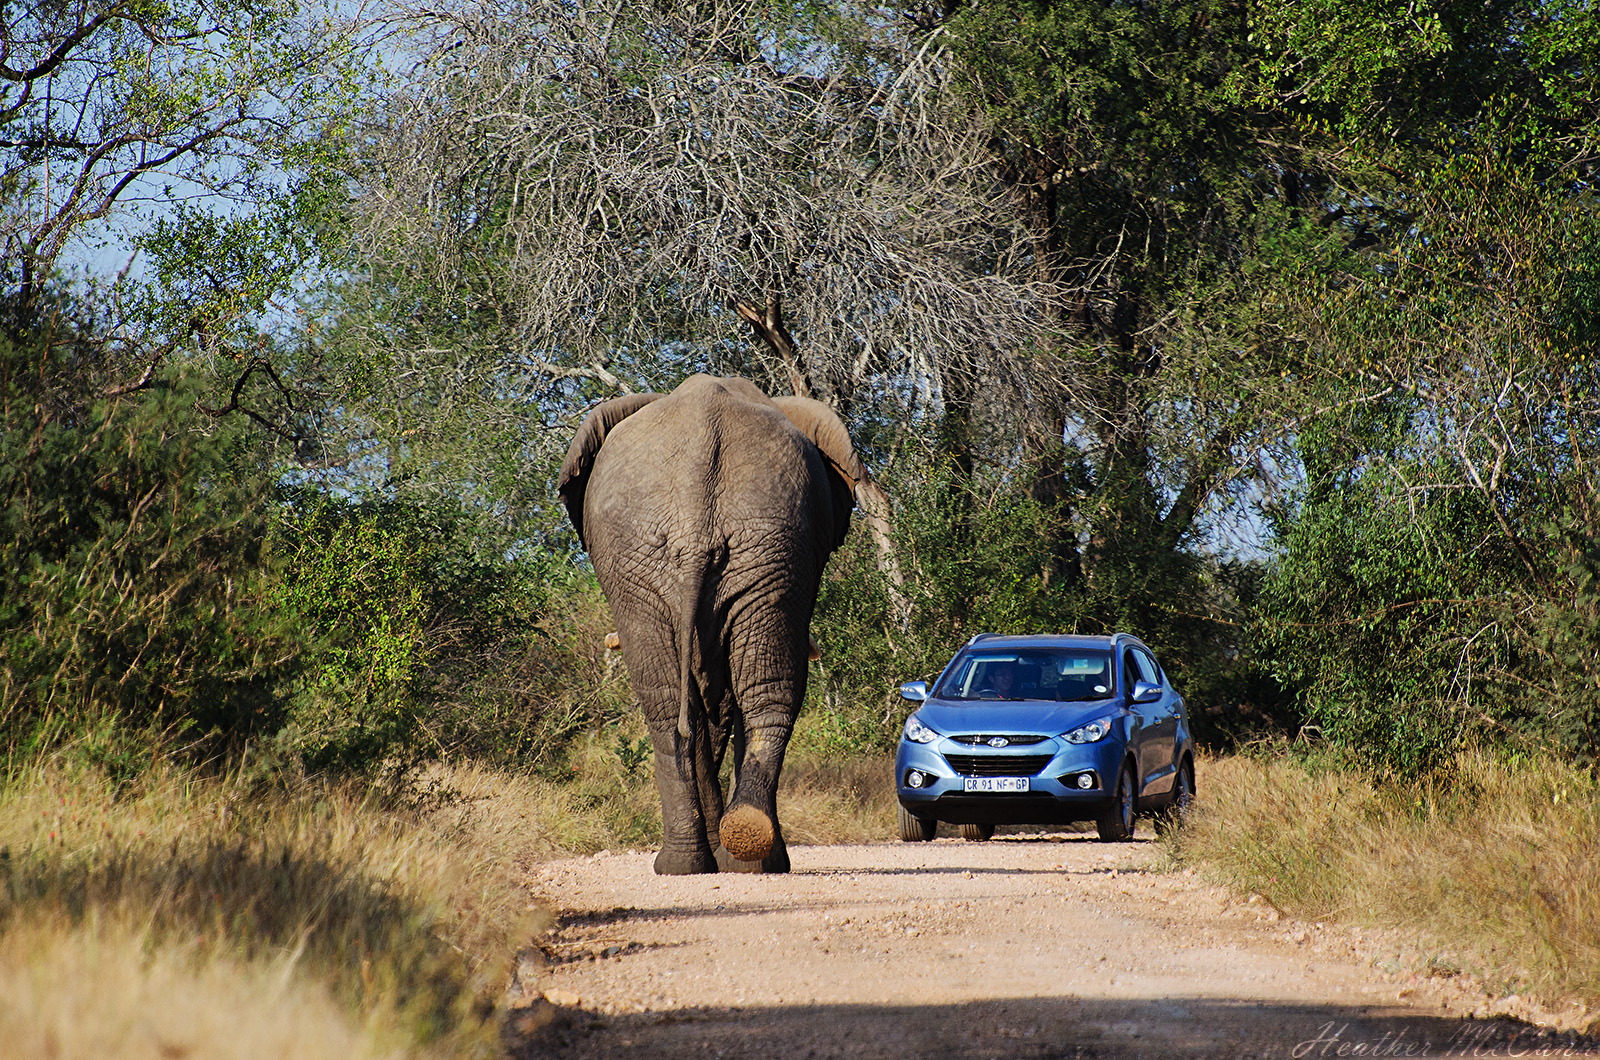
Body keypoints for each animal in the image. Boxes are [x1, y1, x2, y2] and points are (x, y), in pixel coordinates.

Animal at [557, 375, 866, 875]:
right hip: (712, 550)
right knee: (724, 696)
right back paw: (729, 856)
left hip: (760, 546)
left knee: (686, 702)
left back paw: (714, 859)